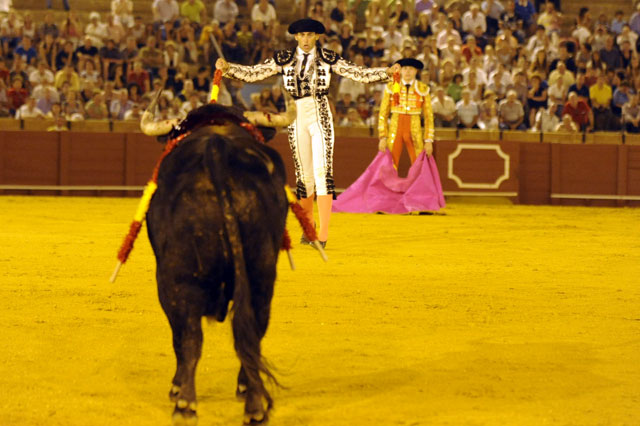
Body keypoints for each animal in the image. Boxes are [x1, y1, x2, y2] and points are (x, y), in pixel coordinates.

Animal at [148, 115, 288, 424]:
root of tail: (217, 147)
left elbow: (180, 339)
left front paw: (176, 389)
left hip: (178, 280)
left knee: (189, 338)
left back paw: (185, 404)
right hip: (262, 275)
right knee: (253, 331)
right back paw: (254, 405)